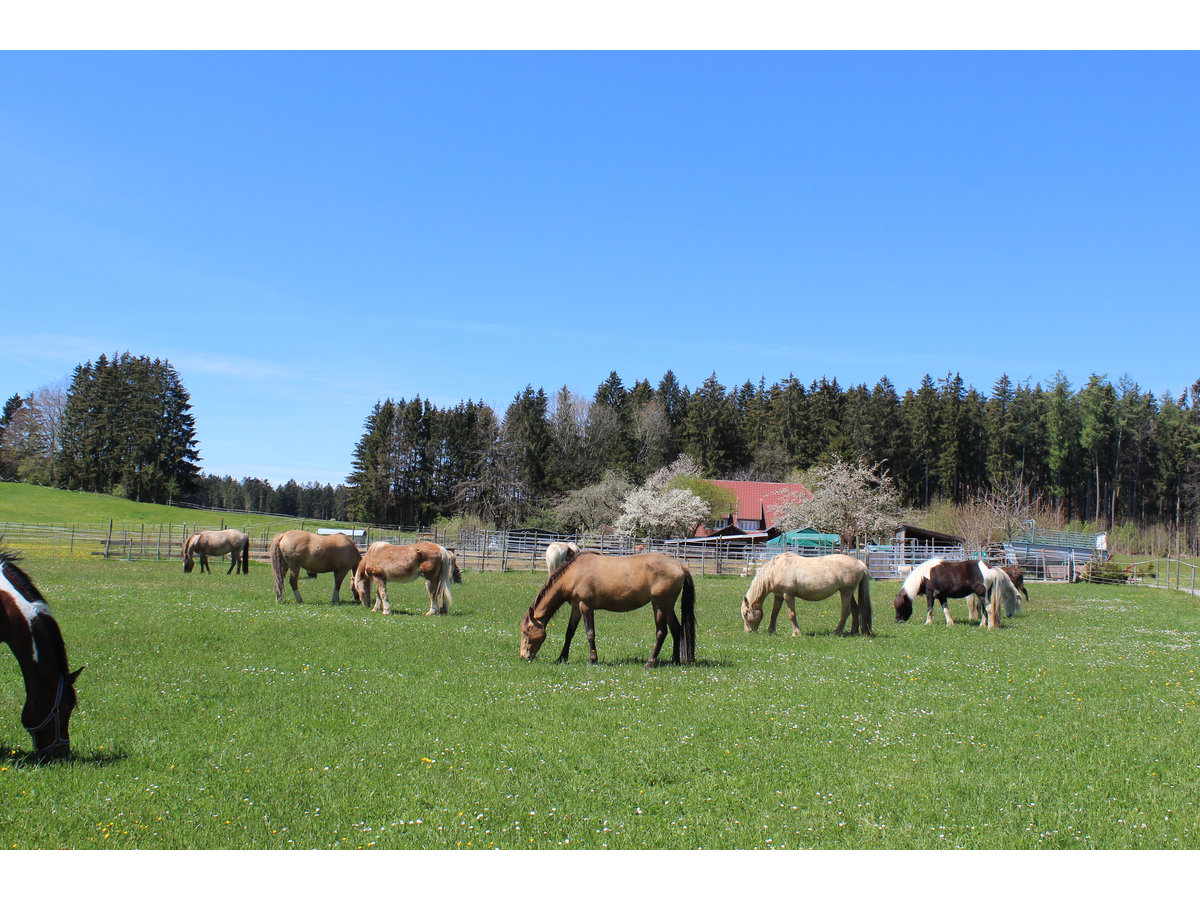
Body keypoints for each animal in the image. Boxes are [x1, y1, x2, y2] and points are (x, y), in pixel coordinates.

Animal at [519, 551, 696, 667]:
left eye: (526, 632)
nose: (523, 656)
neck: (574, 573)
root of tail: (680, 566)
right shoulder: (576, 608)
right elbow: (569, 633)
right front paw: (562, 658)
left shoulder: (585, 606)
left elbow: (590, 633)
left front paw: (593, 660)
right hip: (668, 606)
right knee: (676, 629)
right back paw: (674, 660)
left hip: (659, 605)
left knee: (662, 632)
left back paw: (650, 662)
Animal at [741, 552, 873, 637]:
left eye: (746, 613)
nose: (747, 631)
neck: (775, 570)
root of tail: (860, 563)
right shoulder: (778, 595)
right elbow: (774, 614)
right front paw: (771, 631)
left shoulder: (788, 595)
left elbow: (792, 614)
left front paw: (796, 633)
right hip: (848, 593)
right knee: (855, 610)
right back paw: (853, 632)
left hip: (846, 592)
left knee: (845, 612)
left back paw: (836, 632)